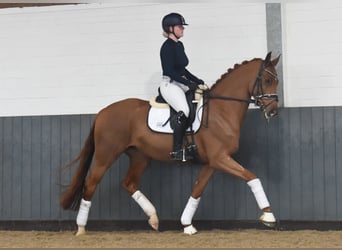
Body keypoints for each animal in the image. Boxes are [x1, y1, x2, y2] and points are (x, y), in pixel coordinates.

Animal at [60, 51, 280, 235]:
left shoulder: (213, 162)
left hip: (140, 156)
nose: (273, 112)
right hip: (106, 154)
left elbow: (197, 190)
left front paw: (187, 225)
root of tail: (103, 112)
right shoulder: (220, 159)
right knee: (90, 184)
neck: (221, 111)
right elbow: (252, 177)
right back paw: (81, 228)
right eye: (268, 80)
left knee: (128, 183)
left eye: (277, 81)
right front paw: (269, 216)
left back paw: (153, 218)